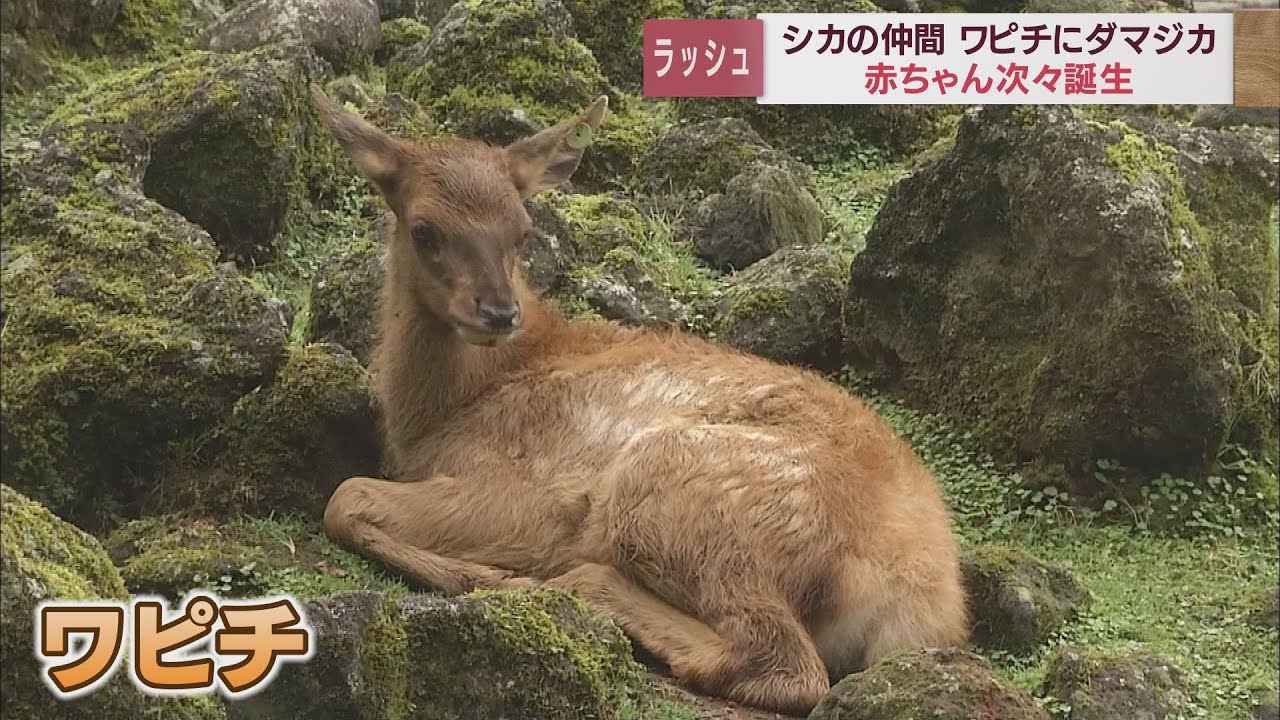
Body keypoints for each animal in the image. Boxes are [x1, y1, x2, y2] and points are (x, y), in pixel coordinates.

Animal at [314, 87, 962, 707]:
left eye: (523, 231)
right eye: (424, 229)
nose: (499, 311)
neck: (441, 415)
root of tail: (919, 599)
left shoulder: (525, 491)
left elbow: (344, 498)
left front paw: (494, 577)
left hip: (674, 487)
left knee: (785, 665)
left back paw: (577, 585)